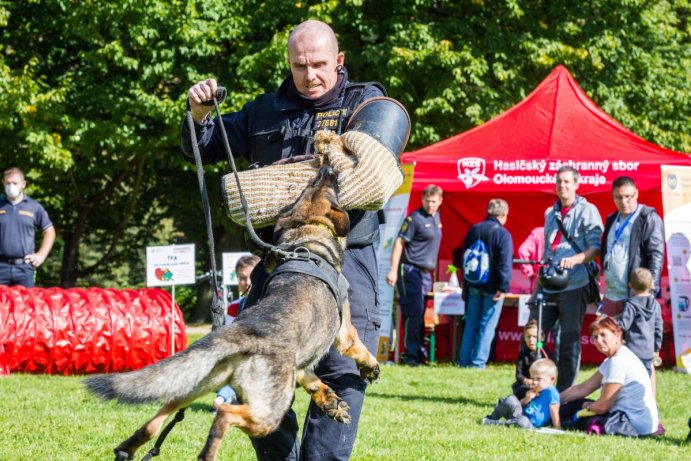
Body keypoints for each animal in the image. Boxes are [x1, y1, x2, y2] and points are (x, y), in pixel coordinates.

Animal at [86, 162, 382, 460]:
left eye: (310, 185)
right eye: (330, 187)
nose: (326, 168)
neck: (307, 238)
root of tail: (243, 330)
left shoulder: (298, 365)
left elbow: (310, 377)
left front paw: (328, 398)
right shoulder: (344, 333)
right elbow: (357, 348)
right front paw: (370, 368)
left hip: (198, 385)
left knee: (156, 420)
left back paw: (128, 448)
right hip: (268, 412)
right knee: (225, 413)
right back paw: (207, 453)